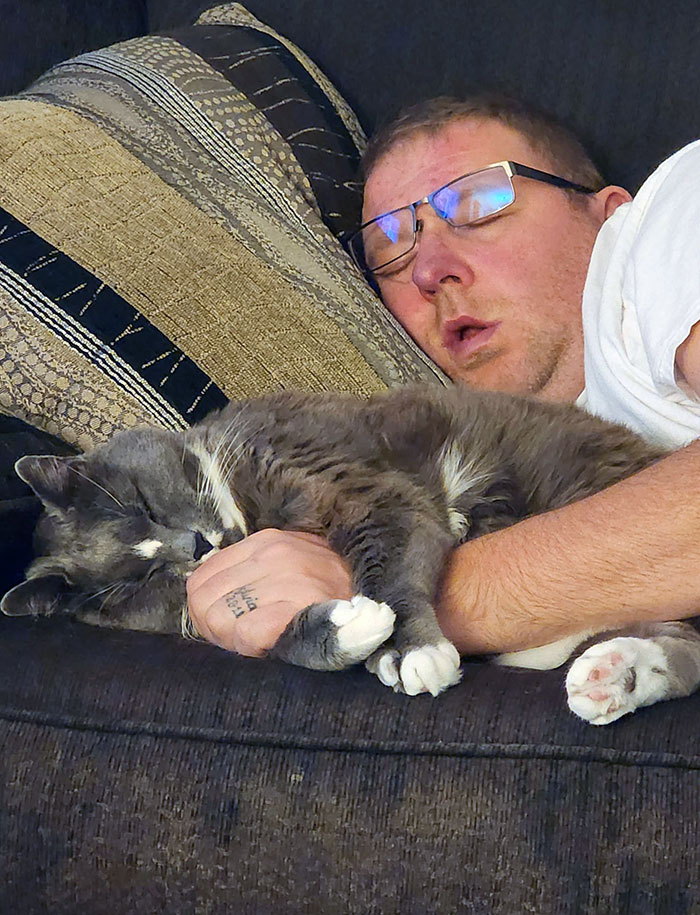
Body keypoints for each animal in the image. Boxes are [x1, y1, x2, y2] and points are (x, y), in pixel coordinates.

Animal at [1, 382, 700, 728]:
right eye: (138, 581)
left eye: (142, 503)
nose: (194, 546)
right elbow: (283, 644)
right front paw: (350, 631)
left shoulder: (363, 487)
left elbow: (390, 562)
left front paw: (411, 652)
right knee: (683, 652)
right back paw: (613, 678)